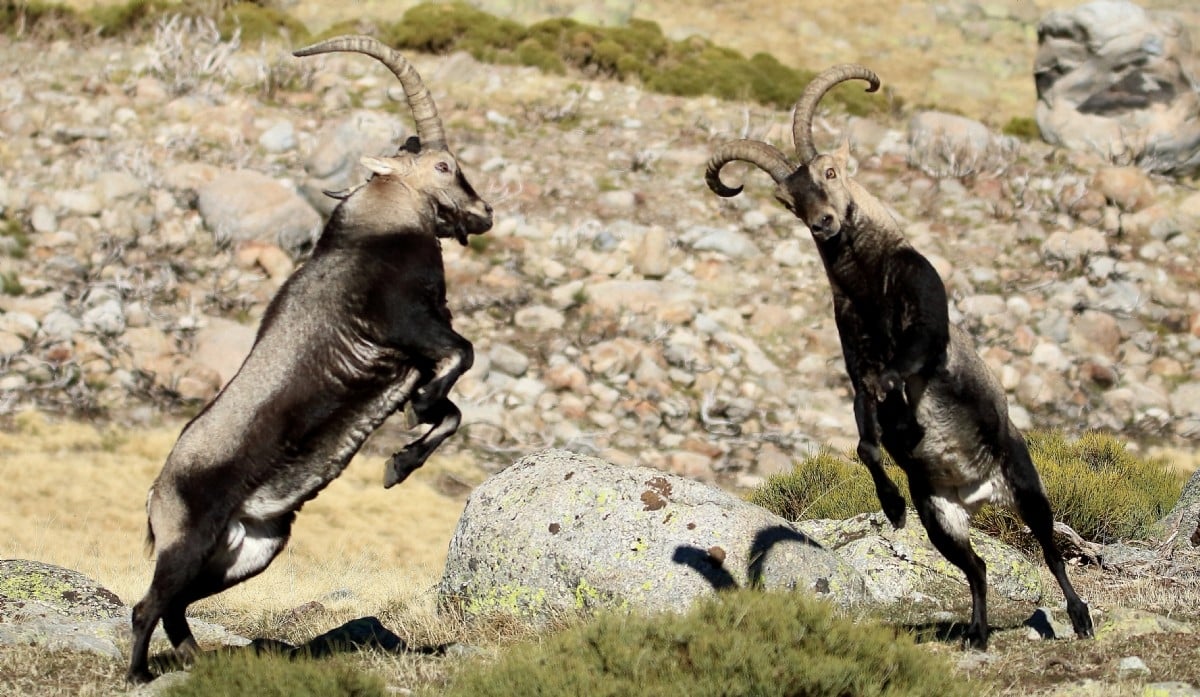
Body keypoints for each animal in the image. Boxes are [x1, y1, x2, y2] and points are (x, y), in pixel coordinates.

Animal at [127, 35, 493, 683]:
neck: (380, 229)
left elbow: (450, 410)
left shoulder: (411, 353)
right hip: (189, 542)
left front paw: (399, 463)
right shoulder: (407, 323)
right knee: (148, 604)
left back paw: (197, 661)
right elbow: (460, 361)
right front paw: (411, 434)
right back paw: (139, 675)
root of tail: (155, 498)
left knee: (176, 604)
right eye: (444, 167)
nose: (485, 214)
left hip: (248, 552)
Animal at [704, 64, 1093, 649]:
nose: (823, 222)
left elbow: (903, 369)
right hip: (940, 516)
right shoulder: (855, 365)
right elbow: (867, 440)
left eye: (832, 171)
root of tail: (979, 496)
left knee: (1049, 550)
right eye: (790, 200)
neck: (869, 286)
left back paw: (1079, 618)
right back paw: (977, 633)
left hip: (1026, 486)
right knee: (977, 567)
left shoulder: (924, 322)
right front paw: (890, 506)